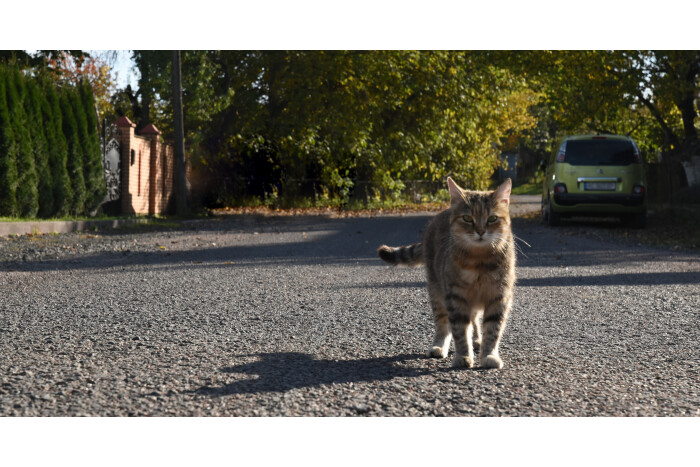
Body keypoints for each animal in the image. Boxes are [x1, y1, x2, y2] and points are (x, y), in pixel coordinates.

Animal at [378, 177, 516, 372]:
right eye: (467, 218)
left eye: (492, 218)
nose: (481, 231)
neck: (480, 260)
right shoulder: (455, 297)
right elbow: (459, 331)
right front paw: (463, 356)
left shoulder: (499, 296)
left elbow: (492, 330)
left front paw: (489, 355)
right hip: (437, 292)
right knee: (443, 324)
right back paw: (439, 346)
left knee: (474, 320)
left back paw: (477, 340)